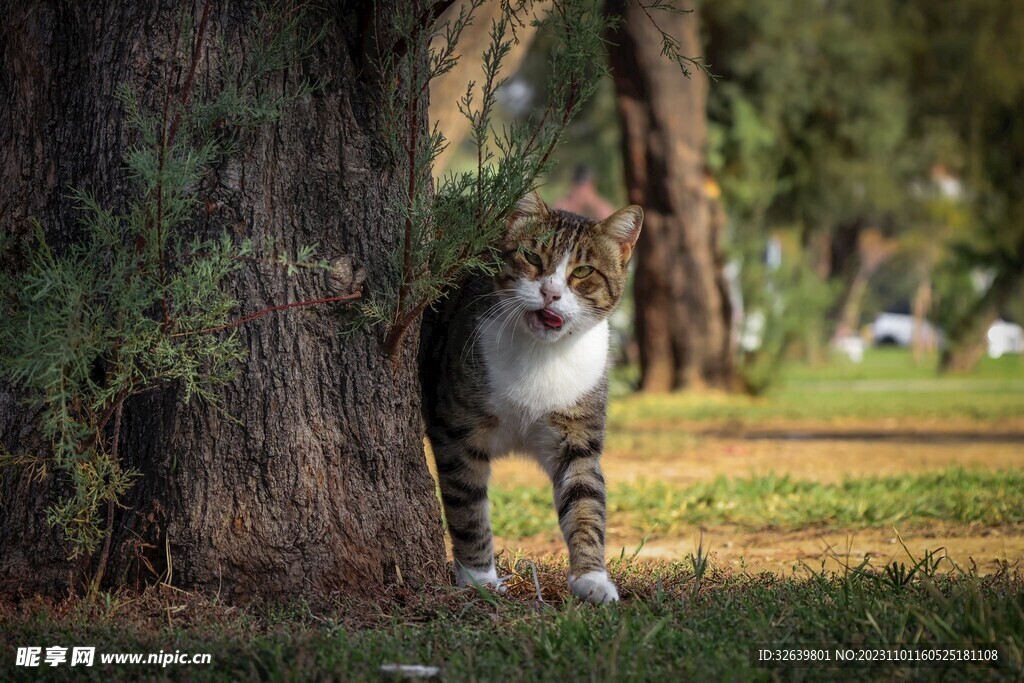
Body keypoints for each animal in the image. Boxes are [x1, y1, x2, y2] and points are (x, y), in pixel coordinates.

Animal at [419, 191, 643, 602]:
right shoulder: (458, 430)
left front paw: (592, 578)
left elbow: (586, 502)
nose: (550, 292)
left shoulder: (577, 436)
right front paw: (478, 577)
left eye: (583, 272)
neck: (542, 354)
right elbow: (467, 503)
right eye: (533, 257)